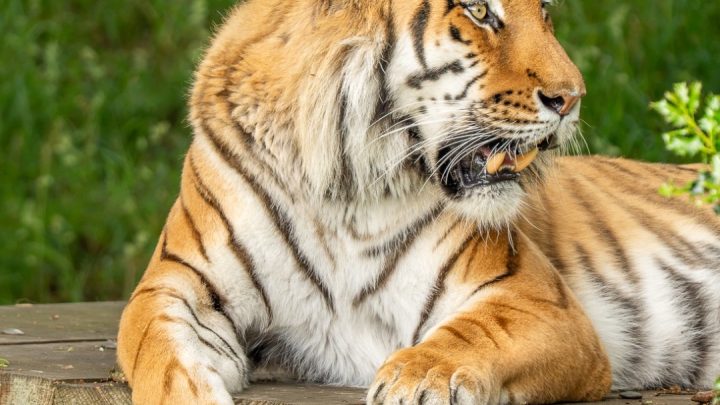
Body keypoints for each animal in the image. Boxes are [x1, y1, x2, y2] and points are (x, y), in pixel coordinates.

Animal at [116, 0, 720, 403]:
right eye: (479, 9)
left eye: (544, 9)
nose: (572, 98)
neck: (344, 191)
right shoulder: (176, 283)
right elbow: (150, 344)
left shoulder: (538, 300)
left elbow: (472, 335)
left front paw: (419, 378)